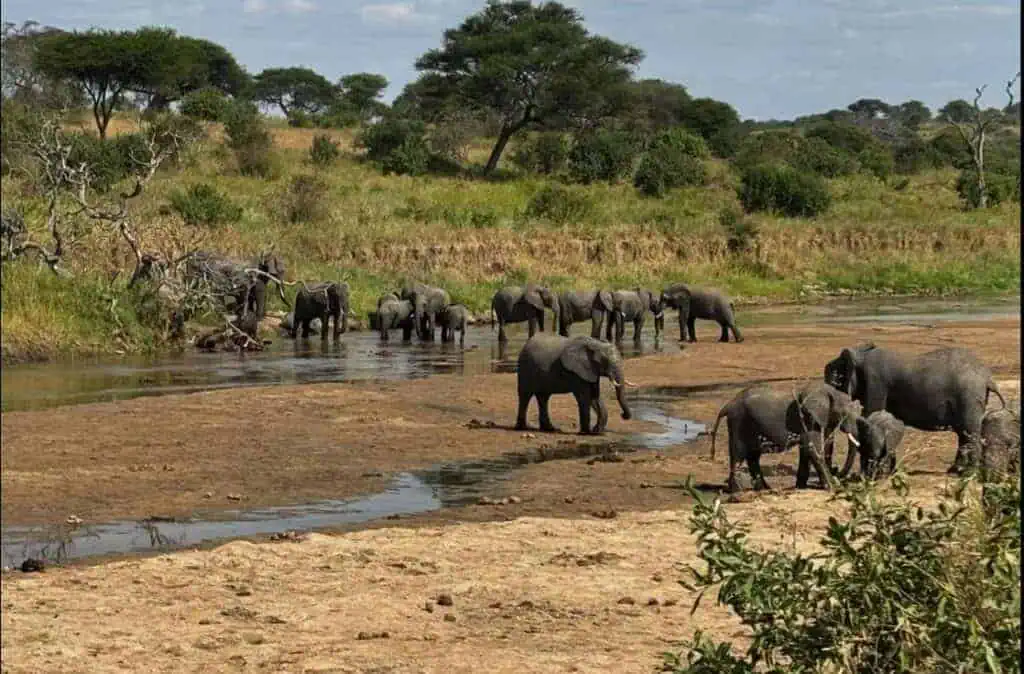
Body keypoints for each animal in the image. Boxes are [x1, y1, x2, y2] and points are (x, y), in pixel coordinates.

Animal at [709, 382, 862, 492]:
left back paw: (764, 489)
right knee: (738, 455)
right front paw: (834, 487)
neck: (831, 391)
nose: (837, 471)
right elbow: (813, 448)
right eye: (843, 415)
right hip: (739, 422)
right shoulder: (807, 417)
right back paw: (737, 492)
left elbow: (806, 450)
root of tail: (728, 405)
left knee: (753, 457)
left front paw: (801, 487)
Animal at [824, 344, 1006, 475]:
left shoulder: (875, 384)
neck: (860, 353)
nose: (836, 471)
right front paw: (890, 472)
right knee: (964, 434)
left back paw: (969, 473)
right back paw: (955, 471)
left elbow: (872, 415)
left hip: (969, 397)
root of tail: (988, 378)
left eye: (834, 381)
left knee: (969, 432)